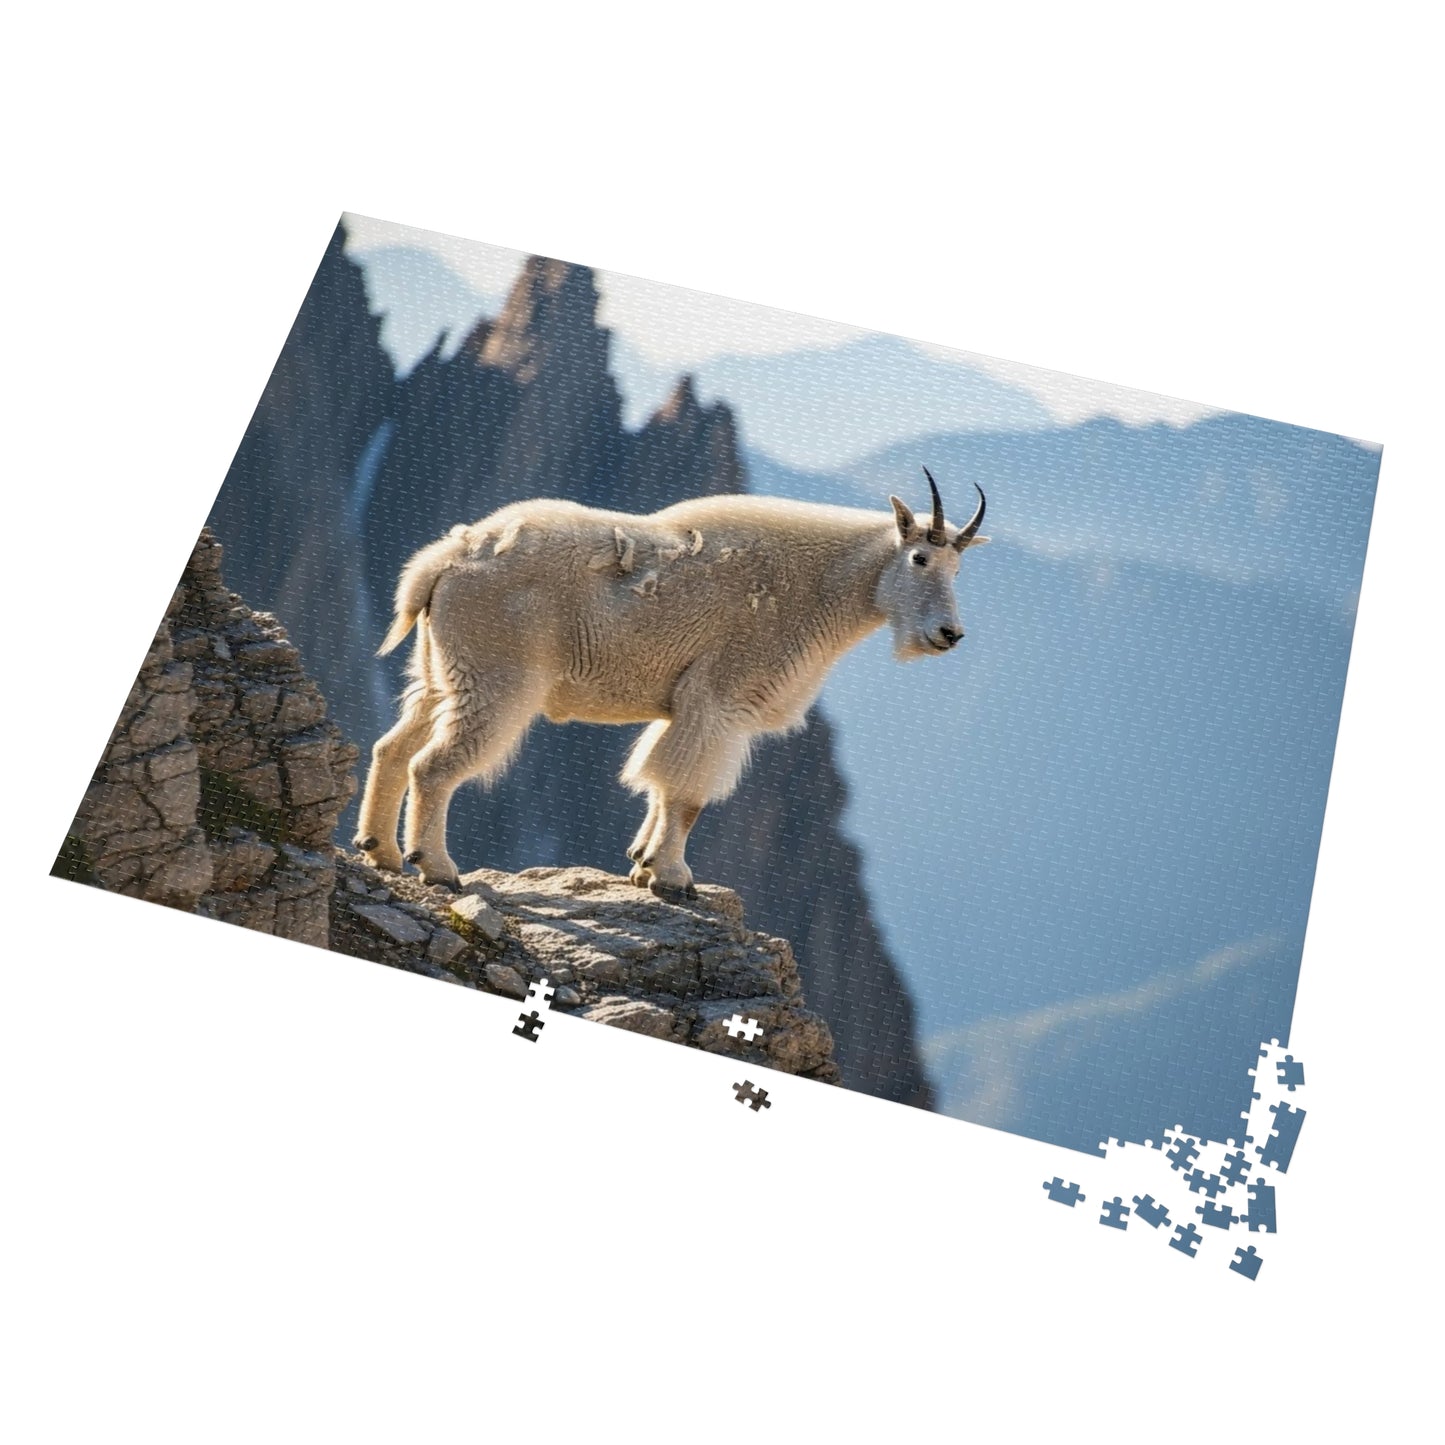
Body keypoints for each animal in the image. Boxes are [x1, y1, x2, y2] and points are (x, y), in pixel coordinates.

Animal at [354, 469, 989, 895]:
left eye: (959, 567)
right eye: (920, 560)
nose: (949, 633)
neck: (818, 587)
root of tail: (444, 559)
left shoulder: (684, 705)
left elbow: (660, 781)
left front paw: (641, 862)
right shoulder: (721, 698)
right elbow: (687, 794)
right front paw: (673, 877)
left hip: (440, 673)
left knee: (392, 747)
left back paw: (379, 851)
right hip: (495, 676)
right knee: (433, 765)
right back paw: (437, 867)